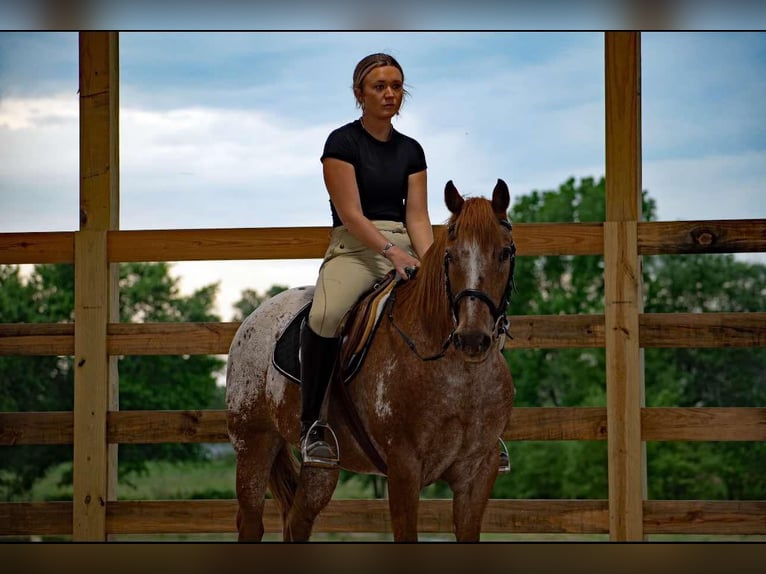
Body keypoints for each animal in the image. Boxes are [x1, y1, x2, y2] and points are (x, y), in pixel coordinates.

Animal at [226, 179, 517, 542]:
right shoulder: (404, 467)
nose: (472, 339)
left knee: (298, 520)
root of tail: (256, 315)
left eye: (505, 253)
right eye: (450, 256)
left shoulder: (477, 472)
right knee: (251, 520)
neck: (459, 375)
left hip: (321, 467)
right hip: (253, 442)